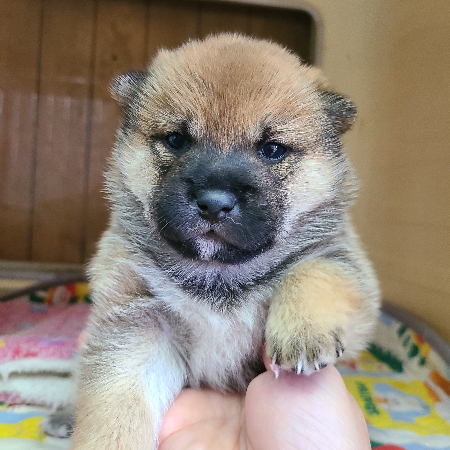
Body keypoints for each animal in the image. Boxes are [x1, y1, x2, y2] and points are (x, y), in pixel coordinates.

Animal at [44, 33, 380, 449]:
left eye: (272, 149)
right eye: (176, 140)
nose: (215, 203)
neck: (216, 272)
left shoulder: (344, 263)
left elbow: (316, 269)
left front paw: (303, 330)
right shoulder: (136, 322)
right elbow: (114, 407)